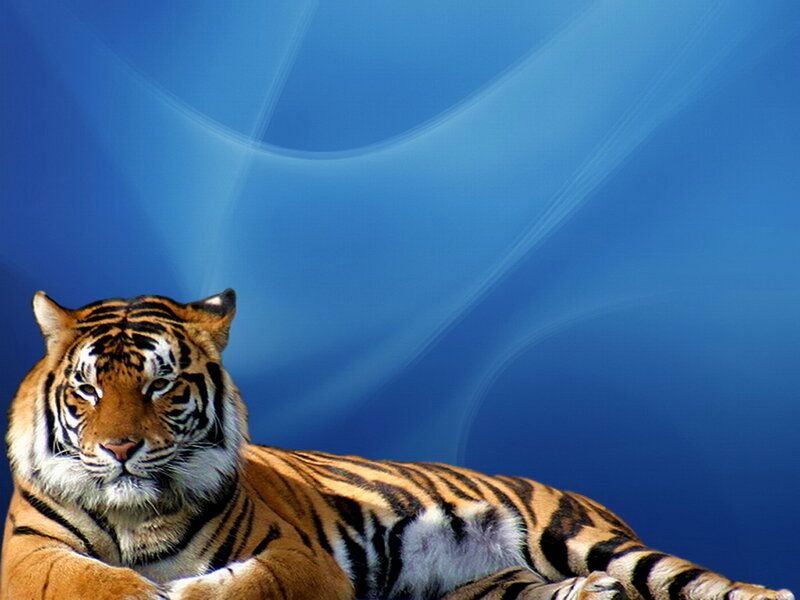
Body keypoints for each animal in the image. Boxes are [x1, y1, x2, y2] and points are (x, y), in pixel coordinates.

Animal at [0, 290, 793, 600]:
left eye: (162, 385)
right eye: (89, 390)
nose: (121, 450)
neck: (137, 512)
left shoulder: (297, 556)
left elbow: (249, 584)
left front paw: (187, 591)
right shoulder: (27, 552)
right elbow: (87, 579)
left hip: (579, 536)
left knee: (690, 579)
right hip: (490, 589)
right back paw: (585, 596)